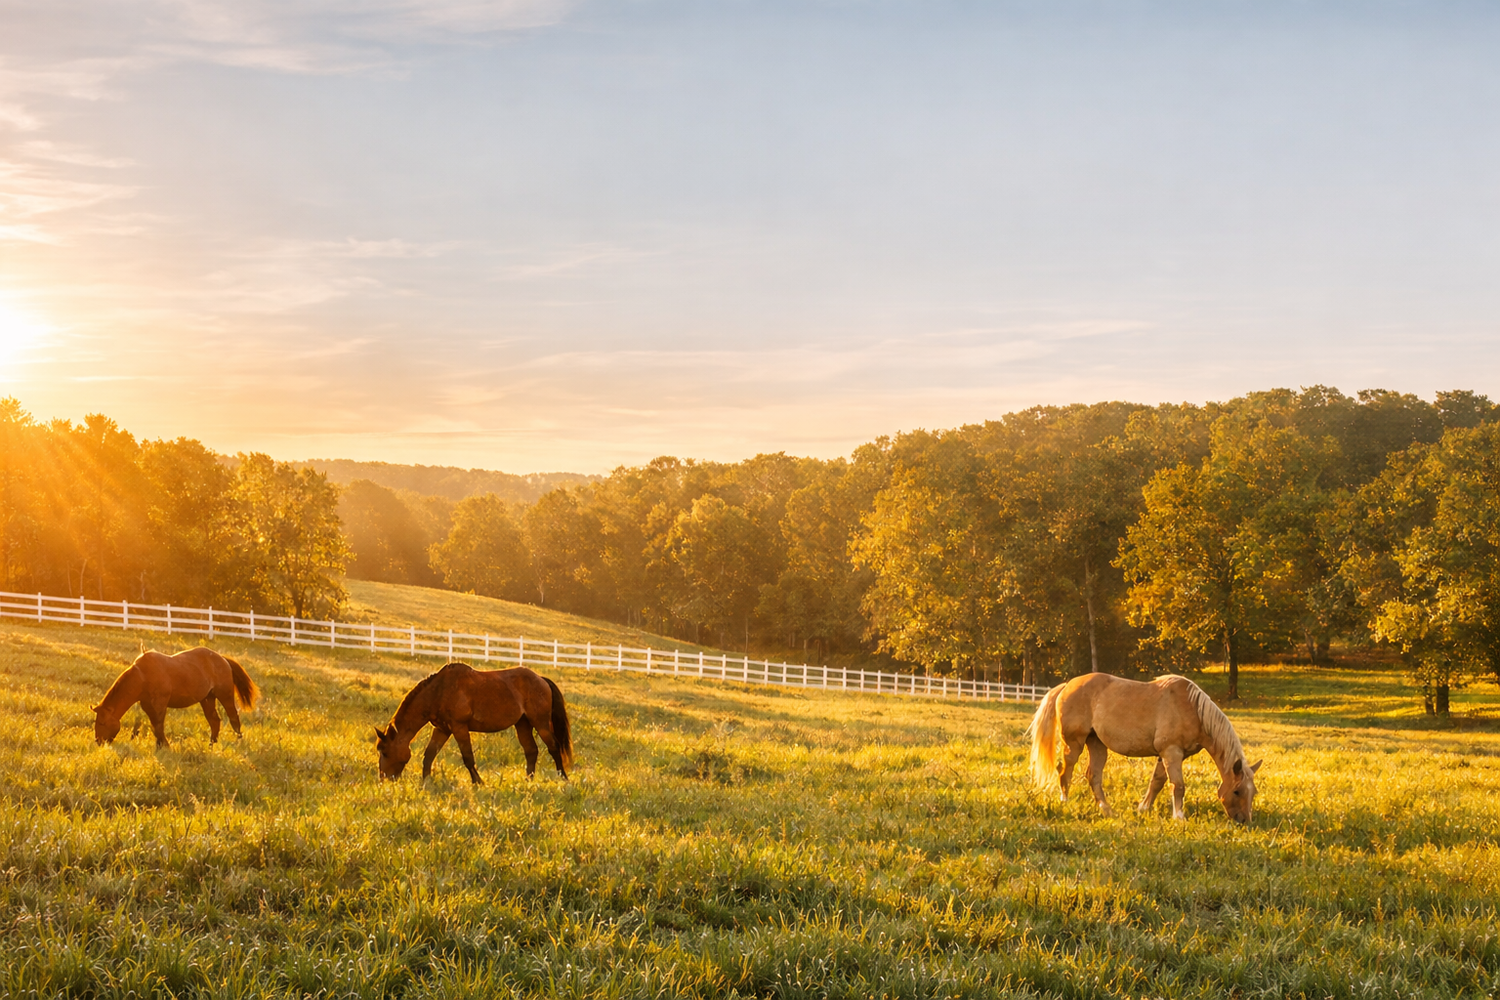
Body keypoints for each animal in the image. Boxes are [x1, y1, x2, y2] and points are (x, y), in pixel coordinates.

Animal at [94, 647, 260, 748]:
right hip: (207, 699)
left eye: (102, 722)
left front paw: (164, 746)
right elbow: (148, 726)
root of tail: (223, 659)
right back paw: (211, 744)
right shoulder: (147, 705)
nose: (98, 741)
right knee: (214, 721)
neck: (142, 676)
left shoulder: (159, 705)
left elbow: (158, 726)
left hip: (225, 695)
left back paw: (239, 741)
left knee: (234, 718)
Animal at [374, 662, 573, 784]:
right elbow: (429, 755)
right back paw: (528, 780)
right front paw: (427, 781)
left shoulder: (459, 727)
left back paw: (563, 777)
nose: (384, 779)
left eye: (384, 751)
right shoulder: (442, 729)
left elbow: (468, 757)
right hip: (523, 724)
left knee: (554, 747)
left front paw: (478, 782)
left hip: (541, 723)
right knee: (531, 751)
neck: (439, 691)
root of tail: (541, 679)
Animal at [1026, 672, 1262, 823]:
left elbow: (1157, 782)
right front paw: (1179, 817)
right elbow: (1178, 785)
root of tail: (1067, 685)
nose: (1244, 821)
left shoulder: (1168, 755)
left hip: (1097, 744)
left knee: (1093, 776)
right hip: (1074, 742)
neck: (1193, 709)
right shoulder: (1171, 752)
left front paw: (1143, 808)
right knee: (1065, 770)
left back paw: (1107, 811)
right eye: (1237, 791)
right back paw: (1065, 801)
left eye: (1254, 792)